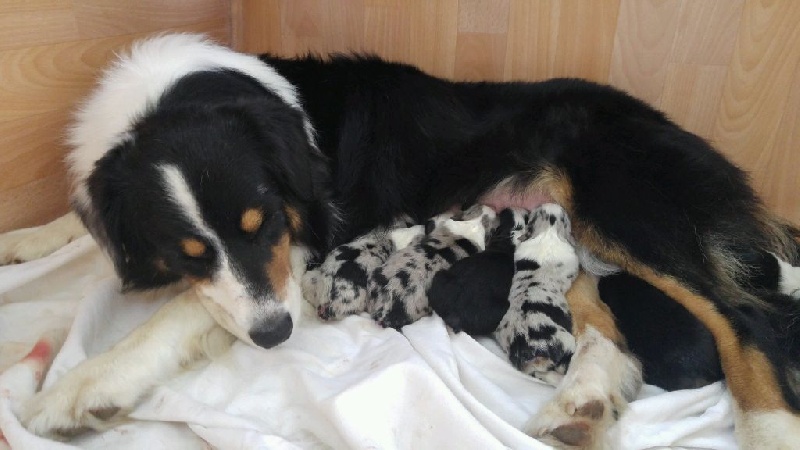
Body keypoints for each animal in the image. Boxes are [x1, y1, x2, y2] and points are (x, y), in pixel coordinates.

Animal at [1, 33, 800, 448]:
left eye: (263, 223)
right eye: (186, 252)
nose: (278, 336)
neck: (167, 101)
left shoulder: (297, 245)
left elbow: (173, 318)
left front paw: (81, 389)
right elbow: (90, 225)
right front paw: (30, 238)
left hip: (625, 208)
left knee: (745, 318)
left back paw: (767, 427)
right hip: (567, 234)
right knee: (603, 316)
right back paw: (586, 402)